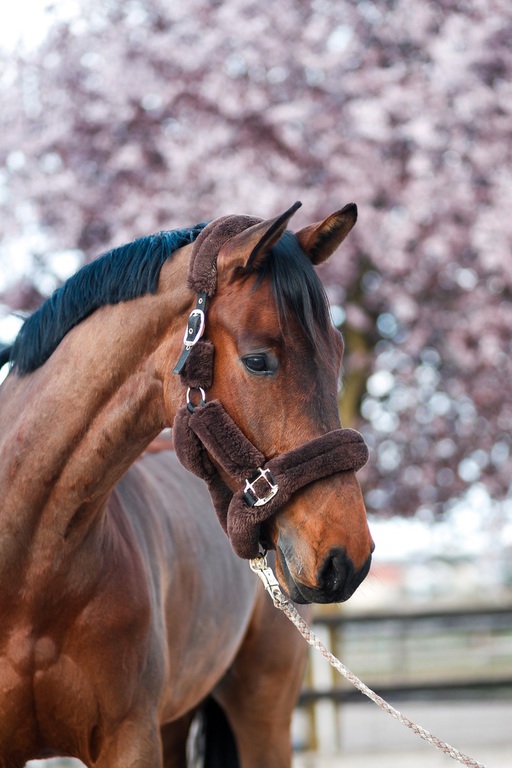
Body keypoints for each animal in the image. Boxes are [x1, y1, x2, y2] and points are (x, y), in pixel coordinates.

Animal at [0, 202, 374, 767]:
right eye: (258, 360)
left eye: (336, 351)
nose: (347, 556)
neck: (31, 572)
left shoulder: (131, 740)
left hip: (262, 718)